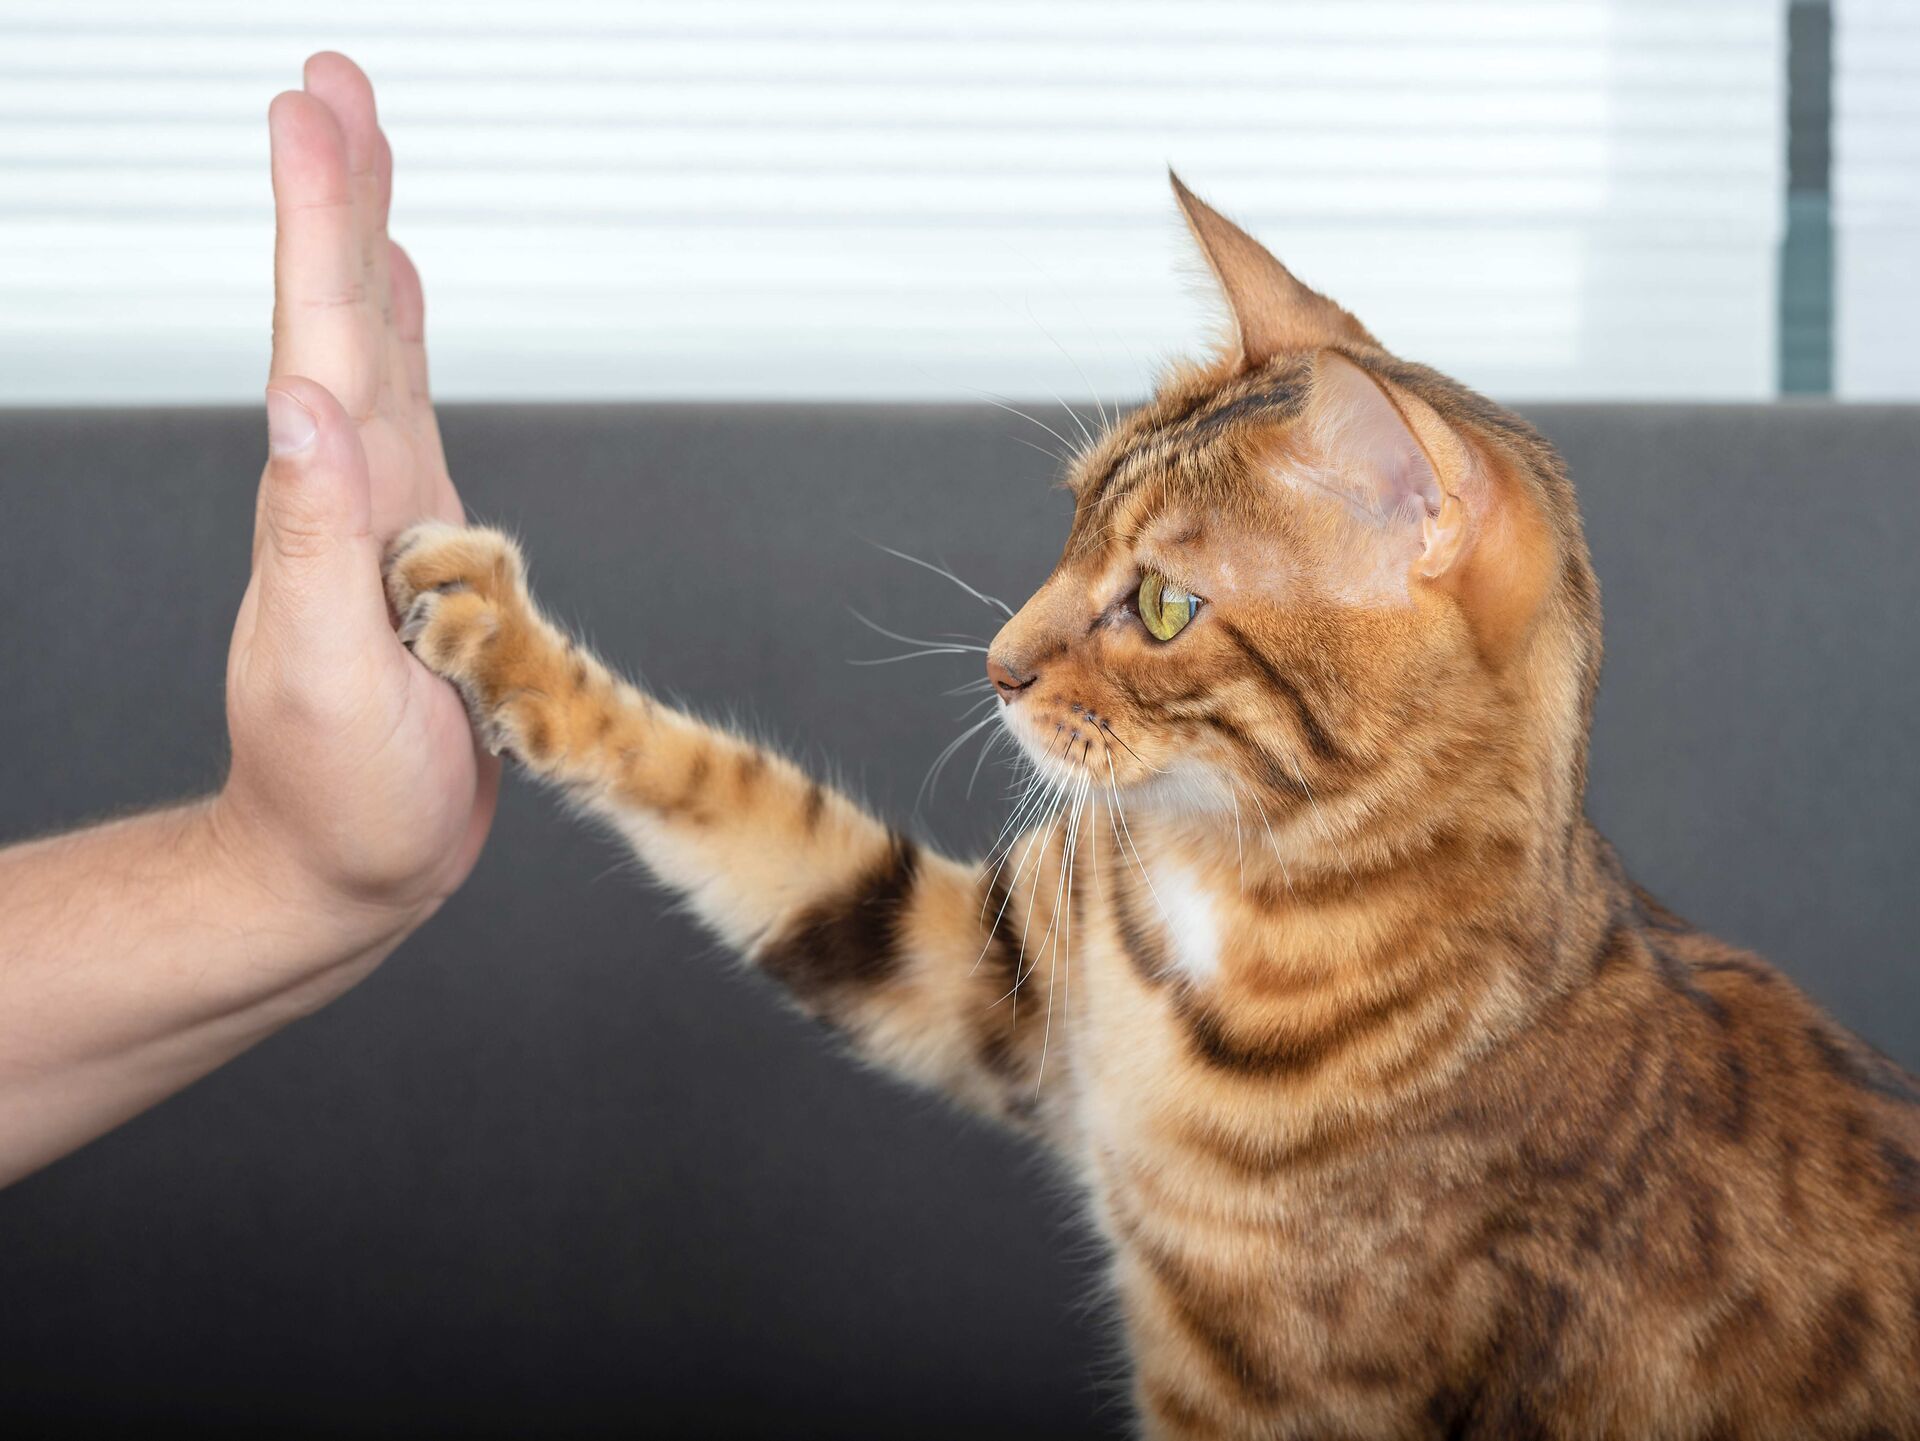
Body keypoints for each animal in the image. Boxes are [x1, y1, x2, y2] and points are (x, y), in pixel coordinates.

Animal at [382, 177, 1912, 1435]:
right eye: (1071, 520)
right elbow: (752, 813)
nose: (997, 665)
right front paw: (495, 629)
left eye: (1166, 605)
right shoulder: (987, 975)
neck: (1234, 890)